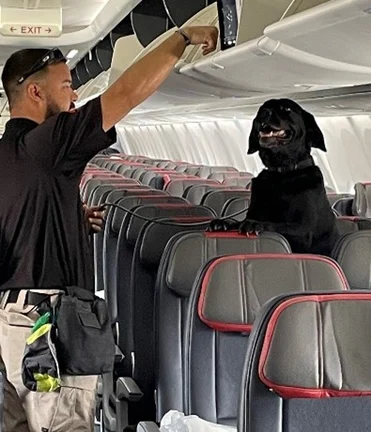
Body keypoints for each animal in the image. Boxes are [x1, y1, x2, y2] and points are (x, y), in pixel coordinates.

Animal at [209, 98, 340, 256]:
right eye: (261, 108)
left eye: (287, 109)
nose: (264, 113)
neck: (281, 173)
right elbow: (240, 220)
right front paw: (225, 222)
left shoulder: (304, 231)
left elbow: (278, 225)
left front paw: (255, 224)